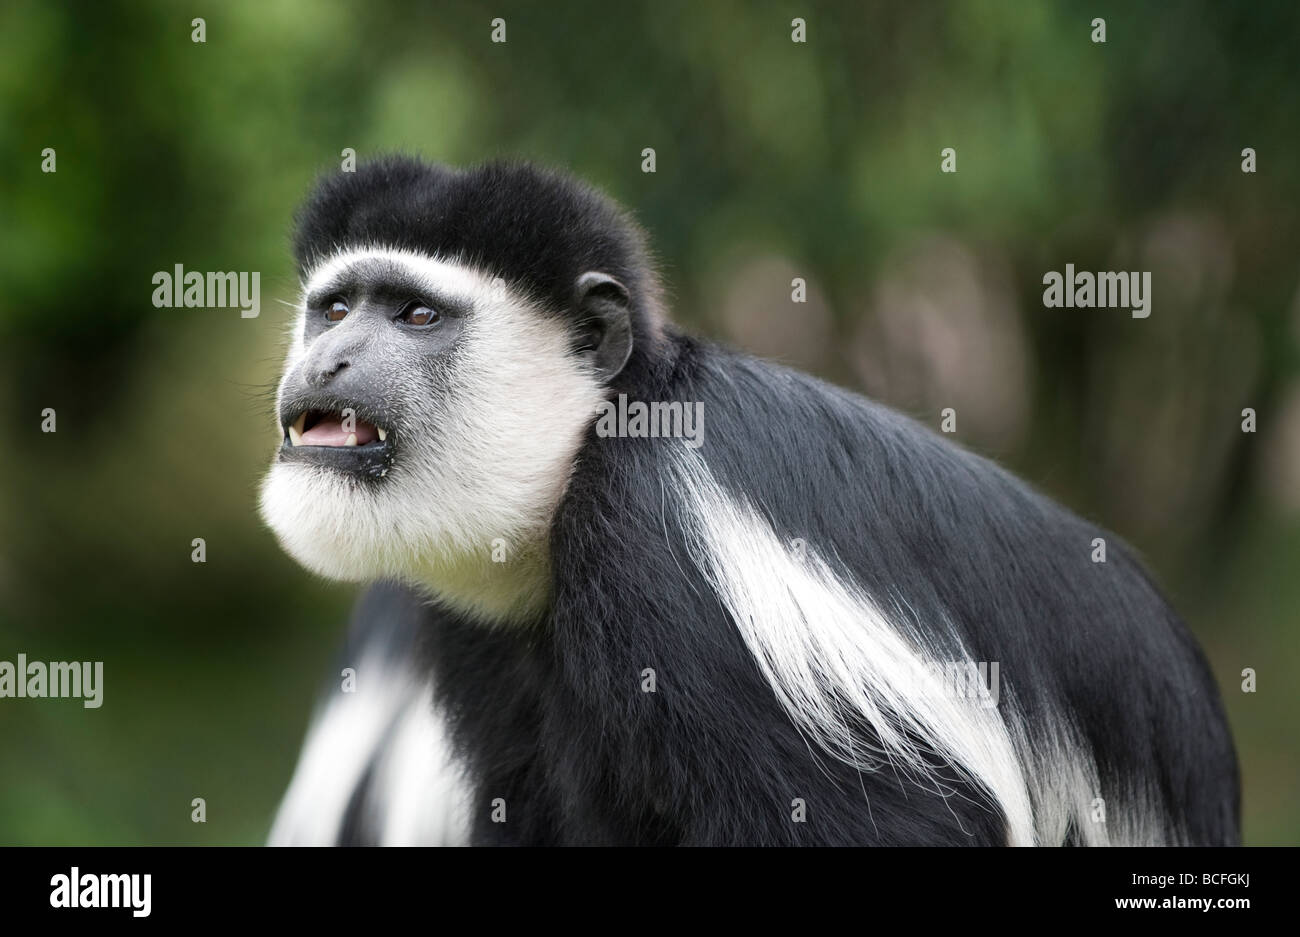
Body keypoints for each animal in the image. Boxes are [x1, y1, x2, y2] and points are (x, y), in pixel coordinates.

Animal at [261, 157, 1237, 842]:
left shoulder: (670, 567)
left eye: (417, 316)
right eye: (337, 309)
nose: (329, 360)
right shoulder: (484, 638)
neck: (587, 449)